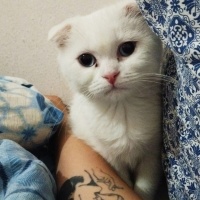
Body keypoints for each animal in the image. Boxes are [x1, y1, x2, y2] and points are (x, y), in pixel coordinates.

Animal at [49, 0, 163, 199]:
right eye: (86, 59)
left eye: (127, 49)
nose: (111, 75)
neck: (122, 111)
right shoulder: (108, 156)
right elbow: (122, 179)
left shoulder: (152, 153)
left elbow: (145, 184)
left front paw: (142, 192)